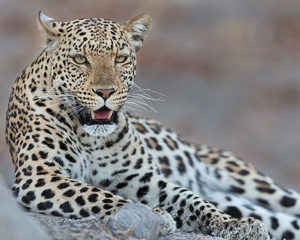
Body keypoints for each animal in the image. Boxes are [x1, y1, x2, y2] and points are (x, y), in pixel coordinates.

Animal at [4, 11, 300, 240]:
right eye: (80, 59)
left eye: (120, 58)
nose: (105, 92)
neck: (91, 139)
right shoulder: (39, 176)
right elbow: (95, 194)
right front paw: (154, 215)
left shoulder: (146, 180)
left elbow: (192, 199)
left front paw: (234, 224)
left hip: (253, 182)